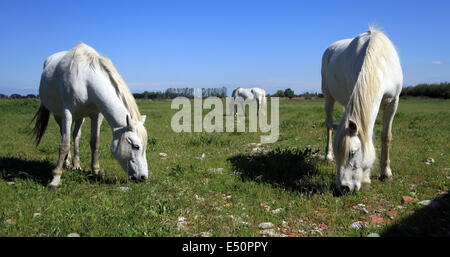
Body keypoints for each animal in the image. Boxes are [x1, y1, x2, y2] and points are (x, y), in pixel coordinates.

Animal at [33, 43, 149, 188]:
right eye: (136, 146)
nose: (143, 177)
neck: (86, 80)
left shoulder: (97, 115)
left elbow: (95, 143)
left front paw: (96, 172)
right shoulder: (67, 112)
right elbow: (64, 145)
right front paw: (55, 179)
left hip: (80, 117)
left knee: (76, 136)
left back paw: (76, 165)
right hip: (59, 115)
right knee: (64, 136)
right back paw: (66, 163)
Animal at [322, 28, 402, 192]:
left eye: (352, 153)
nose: (343, 188)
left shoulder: (393, 103)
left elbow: (386, 136)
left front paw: (386, 173)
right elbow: (367, 135)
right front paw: (366, 179)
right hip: (328, 96)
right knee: (329, 125)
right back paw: (327, 156)